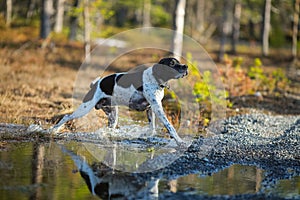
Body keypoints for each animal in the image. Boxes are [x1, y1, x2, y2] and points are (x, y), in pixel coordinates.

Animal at [51, 57, 188, 144]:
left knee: (110, 128)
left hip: (112, 115)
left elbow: (152, 128)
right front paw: (179, 141)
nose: (186, 66)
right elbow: (170, 126)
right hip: (85, 108)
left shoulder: (151, 108)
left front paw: (145, 136)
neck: (155, 78)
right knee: (66, 117)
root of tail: (96, 84)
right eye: (172, 63)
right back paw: (53, 130)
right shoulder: (157, 108)